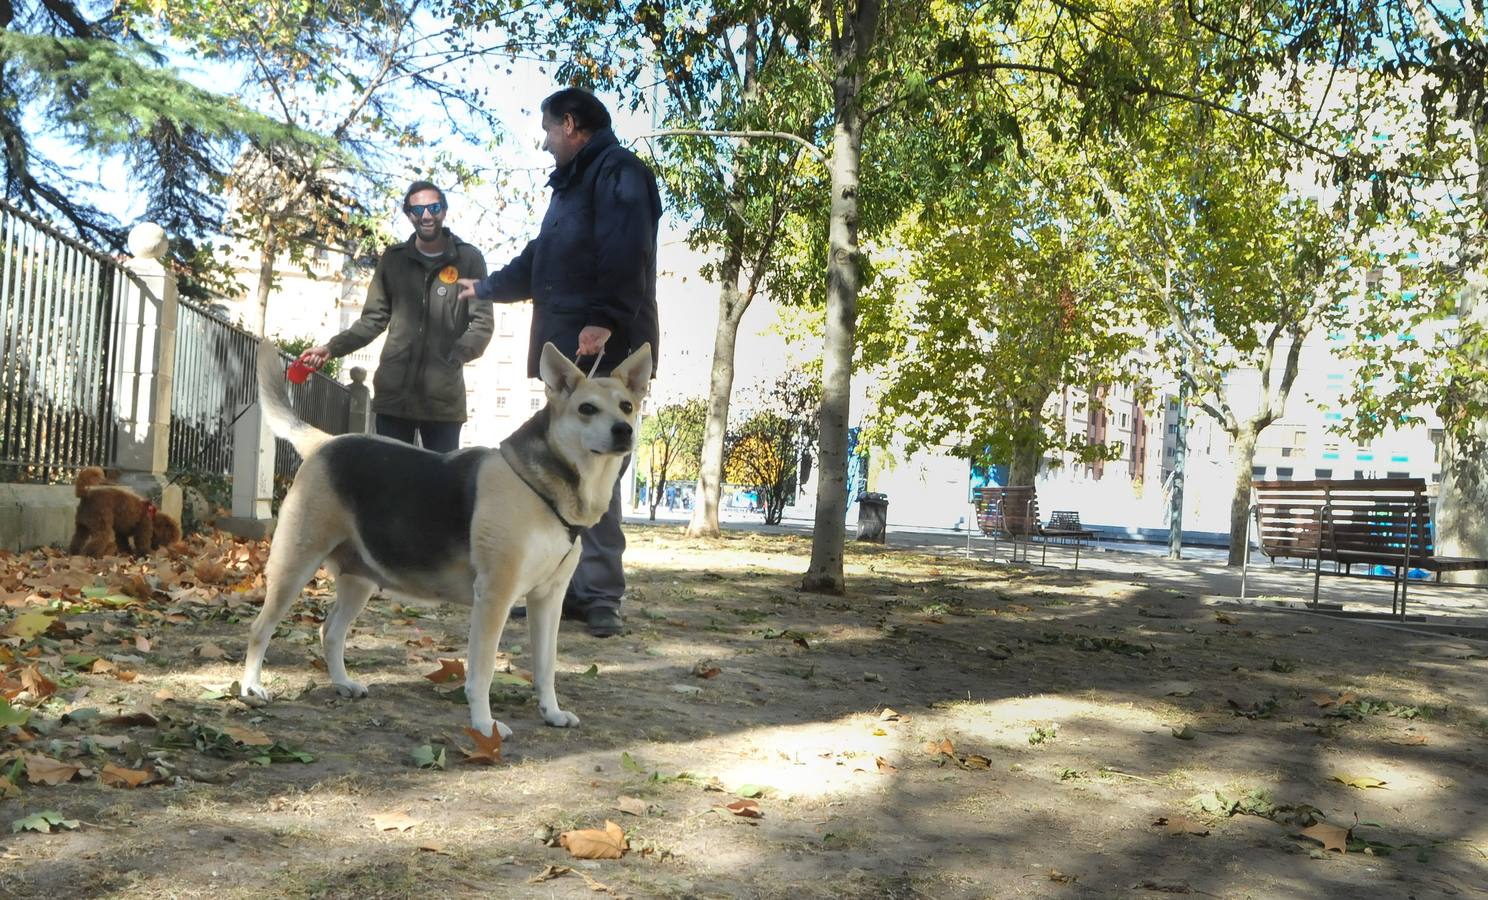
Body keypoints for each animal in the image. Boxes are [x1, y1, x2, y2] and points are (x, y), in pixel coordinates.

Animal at [241, 336, 648, 737]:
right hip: (295, 564)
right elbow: (482, 672)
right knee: (261, 628)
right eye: (587, 409)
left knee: (331, 631)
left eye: (627, 406)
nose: (624, 430)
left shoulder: (549, 599)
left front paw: (552, 712)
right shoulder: (495, 597)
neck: (541, 487)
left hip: (359, 578)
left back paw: (342, 683)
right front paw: (484, 724)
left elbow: (546, 666)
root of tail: (325, 442)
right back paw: (251, 688)